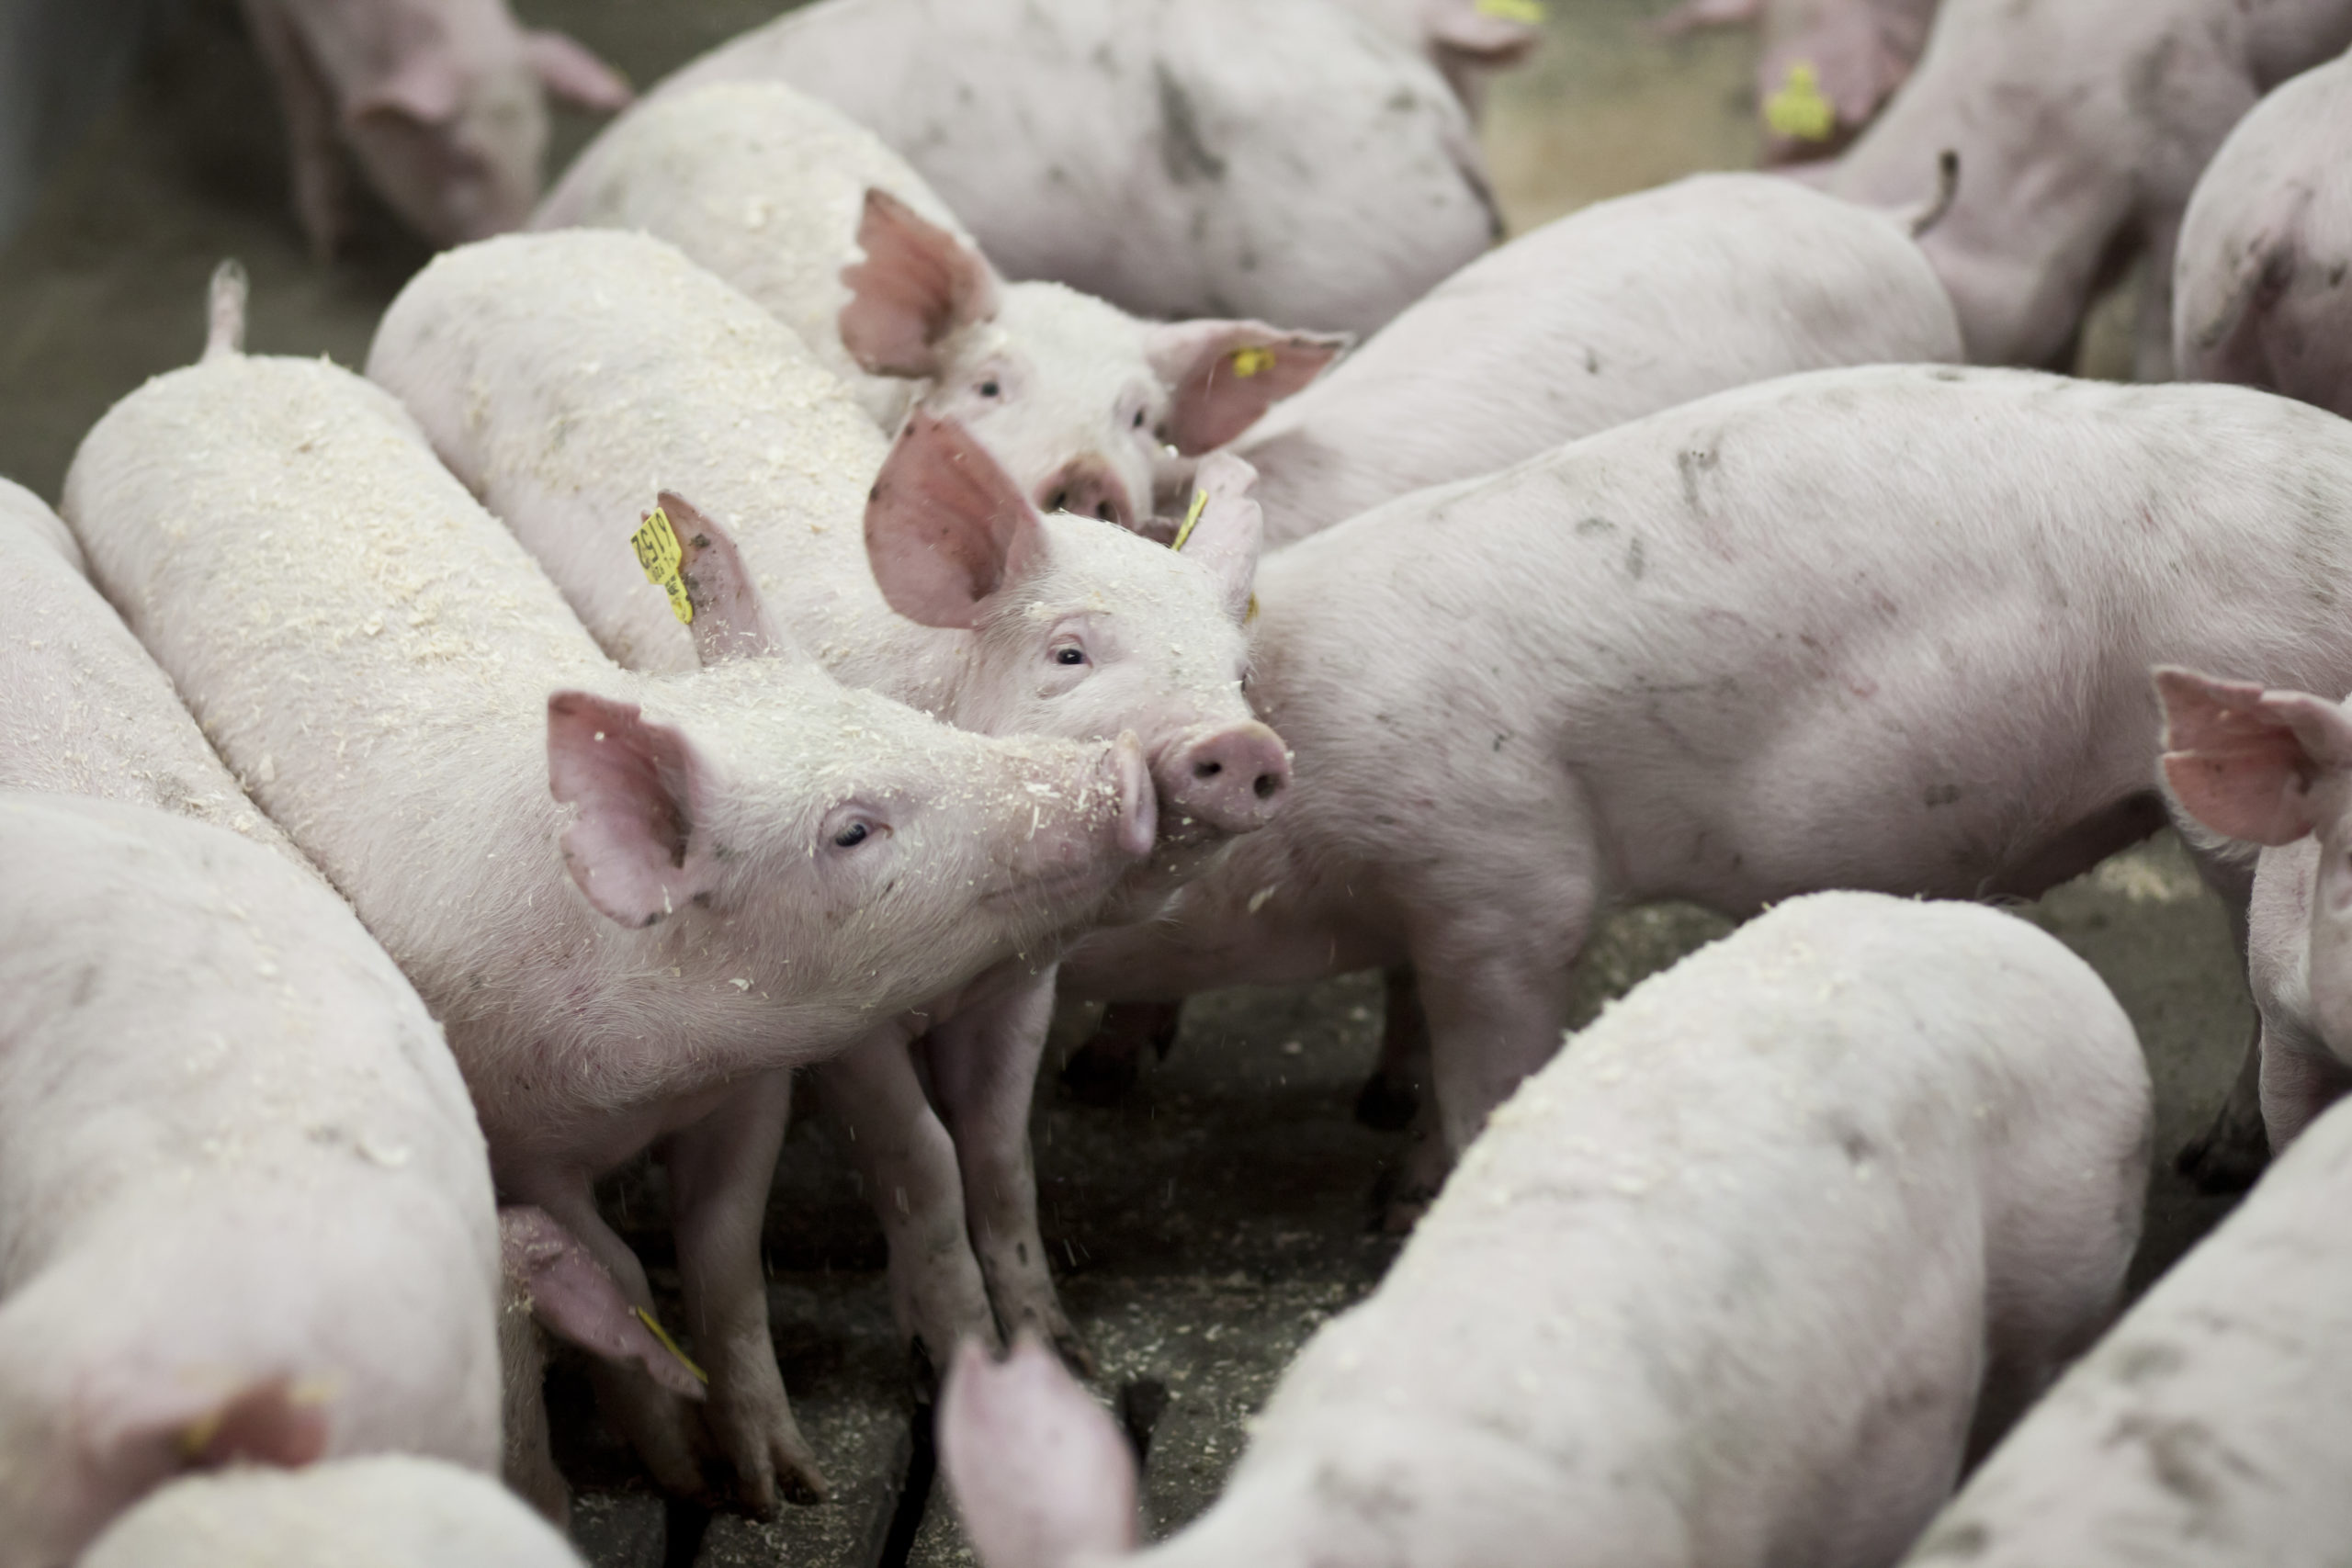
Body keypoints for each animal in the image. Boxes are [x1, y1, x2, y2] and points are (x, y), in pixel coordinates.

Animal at [64, 271, 1157, 1513]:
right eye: (851, 828)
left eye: (893, 717)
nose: (1123, 775)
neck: (648, 1073)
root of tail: (222, 359)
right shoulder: (515, 1136)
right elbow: (622, 1269)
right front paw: (687, 1478)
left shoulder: (750, 1088)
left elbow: (723, 1251)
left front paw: (784, 1486)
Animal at [237, 0, 631, 256]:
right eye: (464, 159)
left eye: (539, 148)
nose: (515, 234)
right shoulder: (275, 19)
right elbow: (306, 104)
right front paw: (333, 241)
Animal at [367, 227, 1281, 1378]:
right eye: (1069, 652)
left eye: (1239, 673)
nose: (1239, 743)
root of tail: (505, 243)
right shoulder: (834, 1010)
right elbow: (922, 1157)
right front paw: (950, 1363)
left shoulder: (1023, 979)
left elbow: (1000, 1151)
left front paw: (1057, 1354)